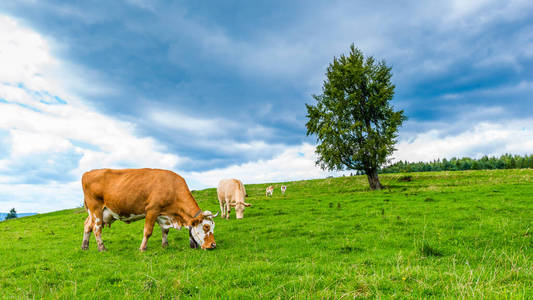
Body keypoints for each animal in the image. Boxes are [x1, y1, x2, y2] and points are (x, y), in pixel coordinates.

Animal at [81, 169, 218, 251]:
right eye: (206, 227)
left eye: (213, 226)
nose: (213, 244)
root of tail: (87, 173)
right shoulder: (152, 210)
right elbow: (148, 232)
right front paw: (142, 248)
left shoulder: (163, 214)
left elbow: (165, 231)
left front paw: (165, 245)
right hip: (96, 209)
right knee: (96, 229)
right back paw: (102, 248)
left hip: (100, 212)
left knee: (87, 225)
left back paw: (85, 246)